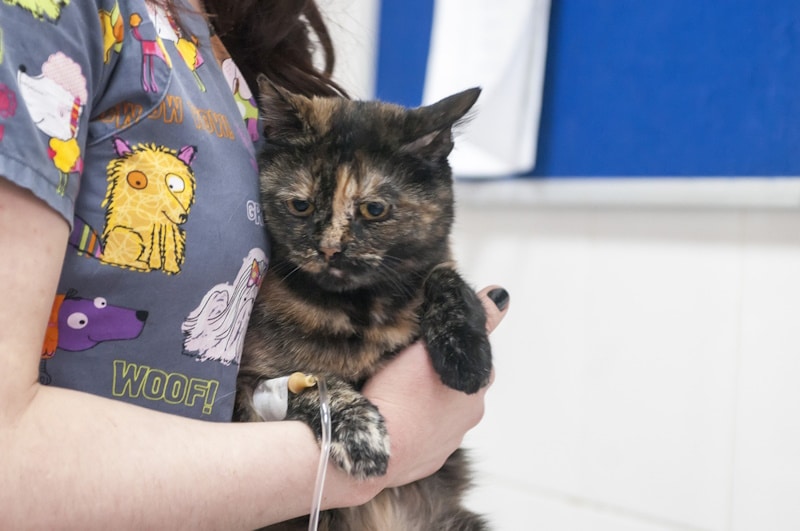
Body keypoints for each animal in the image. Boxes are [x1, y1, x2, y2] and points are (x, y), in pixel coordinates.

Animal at [234, 80, 490, 531]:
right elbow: (312, 383)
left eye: (374, 209)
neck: (361, 311)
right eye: (300, 205)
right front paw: (360, 434)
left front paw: (466, 356)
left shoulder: (431, 267)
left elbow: (443, 275)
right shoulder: (244, 387)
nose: (329, 249)